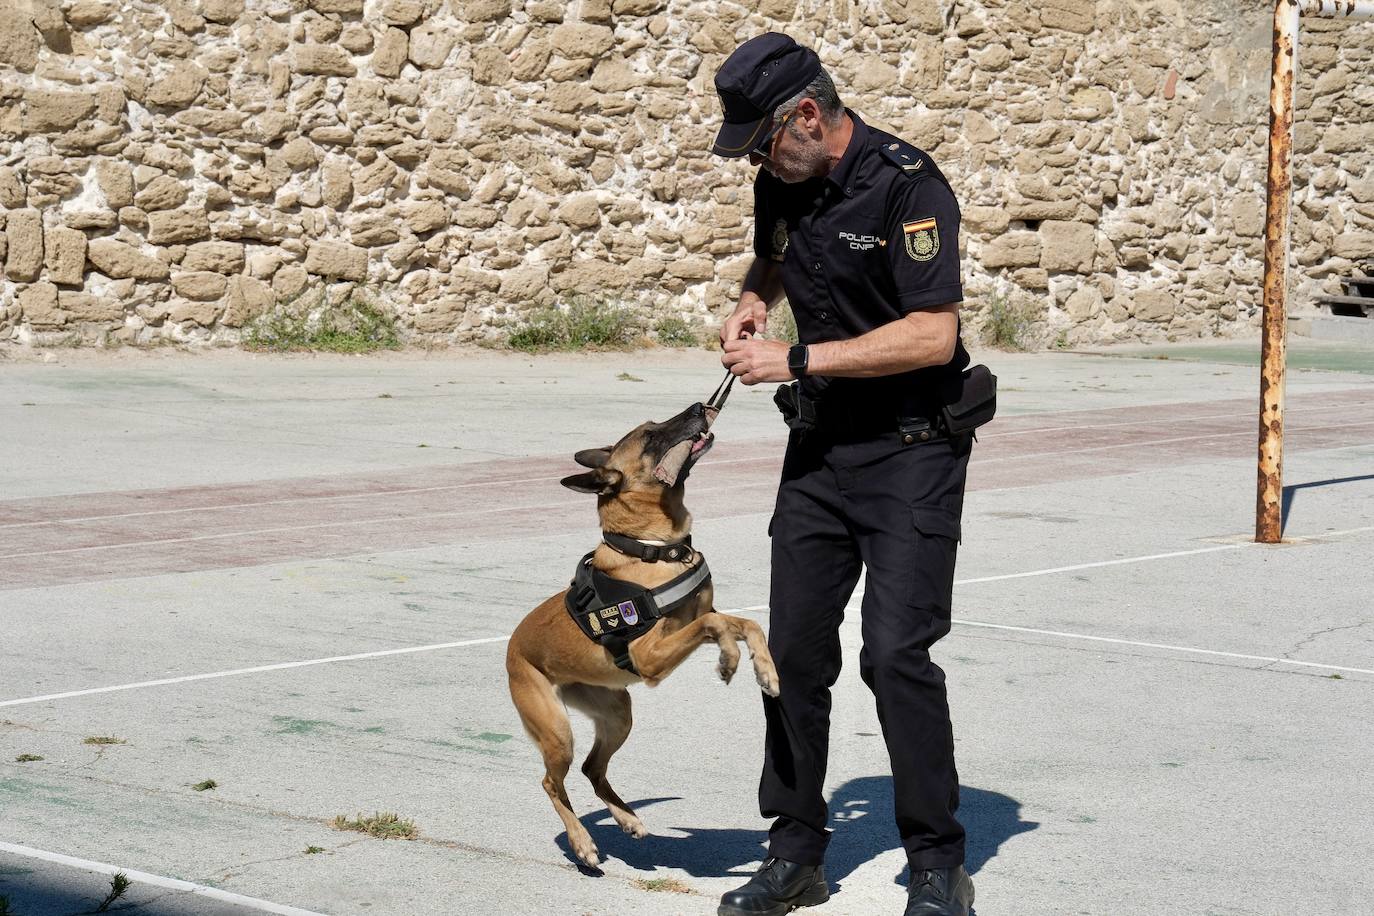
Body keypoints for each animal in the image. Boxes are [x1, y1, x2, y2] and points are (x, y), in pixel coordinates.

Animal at [508, 398, 785, 867]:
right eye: (651, 435)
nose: (701, 406)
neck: (653, 549)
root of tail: (512, 647)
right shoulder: (651, 657)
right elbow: (717, 625)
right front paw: (729, 660)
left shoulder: (692, 622)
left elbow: (746, 623)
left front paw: (764, 670)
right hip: (558, 731)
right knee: (552, 781)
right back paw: (582, 842)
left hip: (618, 711)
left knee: (592, 768)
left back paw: (626, 818)